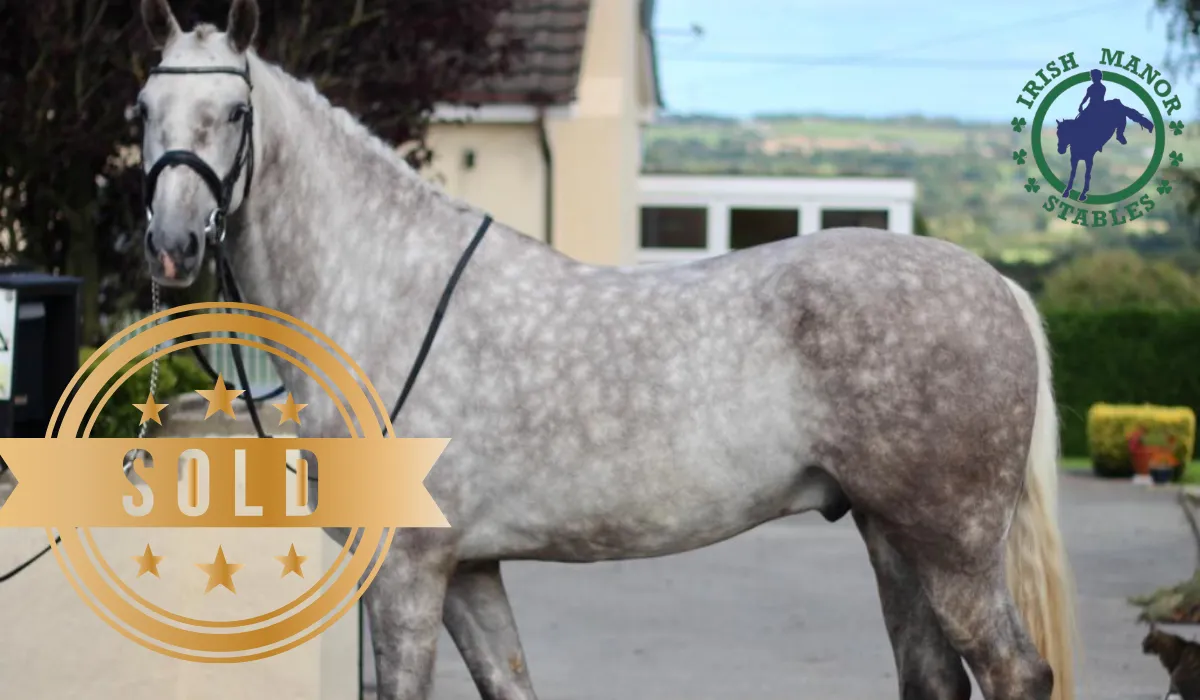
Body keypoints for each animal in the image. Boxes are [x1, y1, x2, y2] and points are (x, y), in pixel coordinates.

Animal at [133, 1, 1077, 698]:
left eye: (236, 112)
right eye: (142, 111)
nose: (173, 246)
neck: (386, 289)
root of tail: (996, 284)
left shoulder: (407, 568)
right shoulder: (470, 568)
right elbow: (511, 682)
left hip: (954, 547)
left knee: (1015, 673)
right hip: (892, 538)